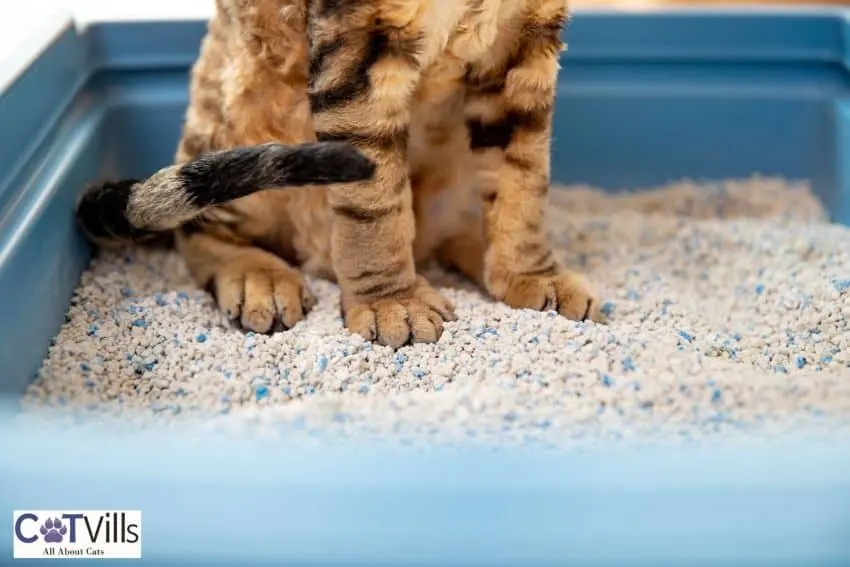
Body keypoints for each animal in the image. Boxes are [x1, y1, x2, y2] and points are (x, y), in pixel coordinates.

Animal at [78, 0, 596, 348]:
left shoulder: (524, 40)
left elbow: (523, 178)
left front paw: (532, 276)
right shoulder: (359, 42)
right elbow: (375, 204)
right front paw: (393, 303)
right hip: (240, 119)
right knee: (199, 228)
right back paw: (258, 277)